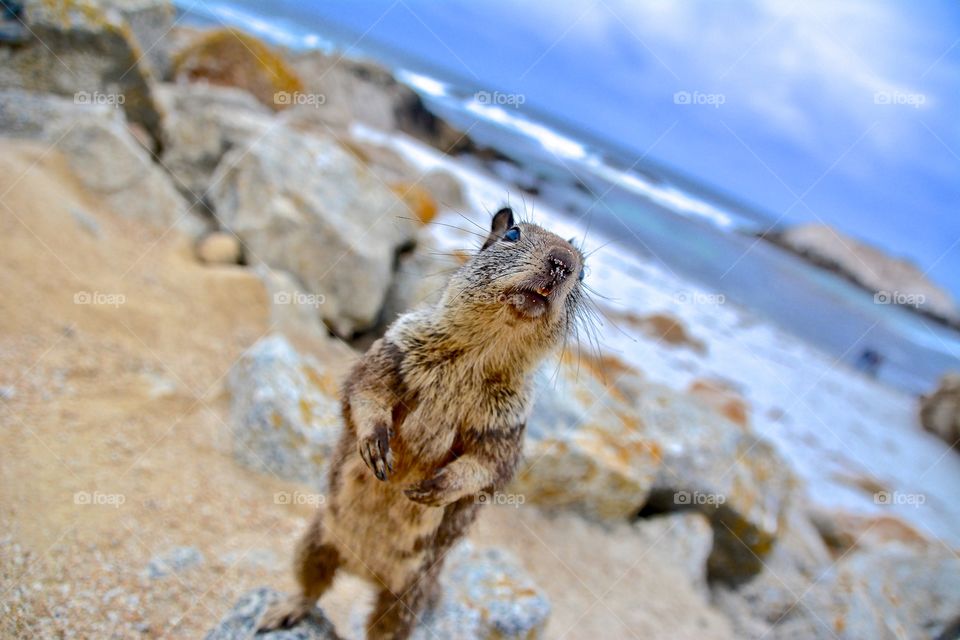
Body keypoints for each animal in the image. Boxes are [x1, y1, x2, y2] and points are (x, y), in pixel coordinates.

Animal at [256, 208, 584, 636]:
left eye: (584, 273)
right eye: (512, 233)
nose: (563, 262)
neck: (482, 353)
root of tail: (363, 572)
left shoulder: (508, 426)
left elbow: (489, 465)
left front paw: (436, 487)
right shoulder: (391, 352)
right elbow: (366, 391)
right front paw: (375, 444)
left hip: (408, 597)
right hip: (313, 542)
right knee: (311, 586)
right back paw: (282, 612)